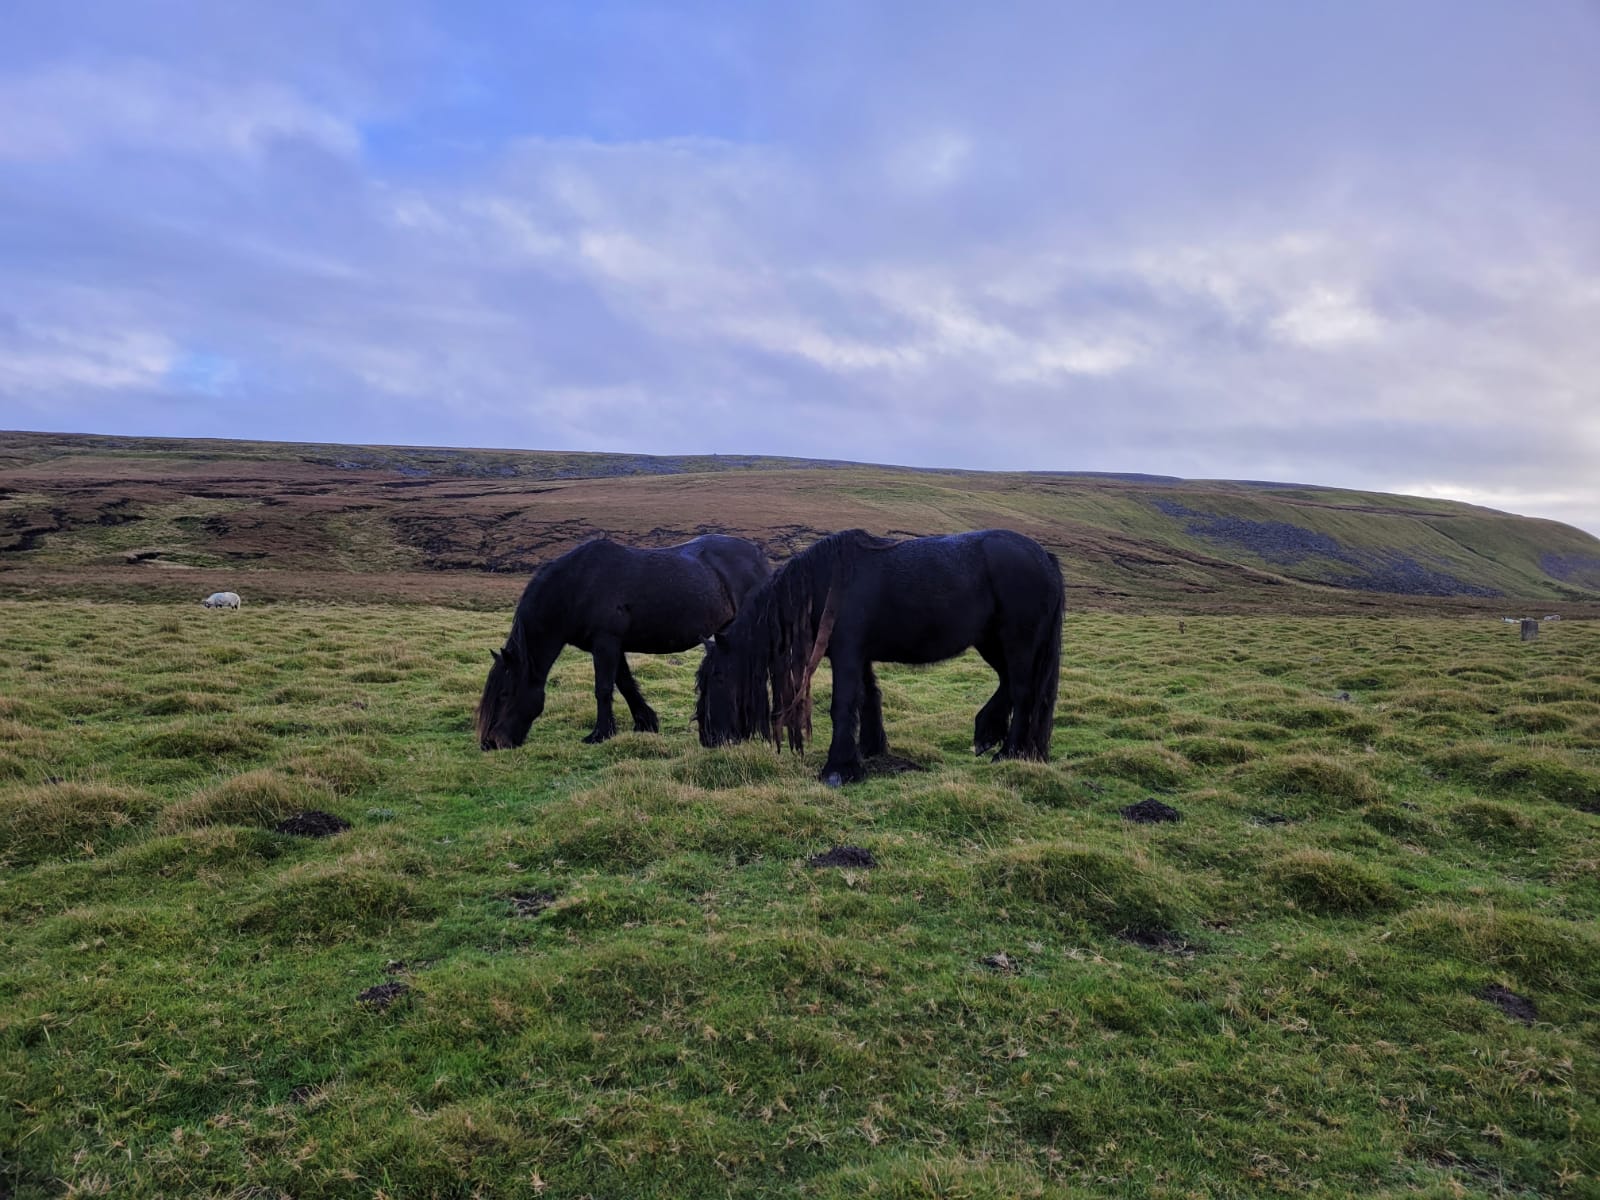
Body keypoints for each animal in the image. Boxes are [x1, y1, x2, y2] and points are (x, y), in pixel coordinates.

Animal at [473, 537, 768, 752]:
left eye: (504, 694)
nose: (490, 743)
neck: (577, 586)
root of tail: (758, 555)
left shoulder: (606, 642)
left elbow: (603, 688)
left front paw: (600, 734)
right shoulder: (613, 645)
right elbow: (625, 683)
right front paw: (646, 722)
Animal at [697, 531, 1062, 784]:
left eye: (718, 677)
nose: (708, 737)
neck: (825, 584)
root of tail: (1043, 556)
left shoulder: (846, 653)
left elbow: (843, 704)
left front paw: (838, 769)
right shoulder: (860, 655)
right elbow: (869, 697)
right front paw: (870, 749)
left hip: (1017, 643)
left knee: (1023, 693)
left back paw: (1010, 752)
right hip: (992, 643)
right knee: (1010, 685)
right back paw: (990, 735)